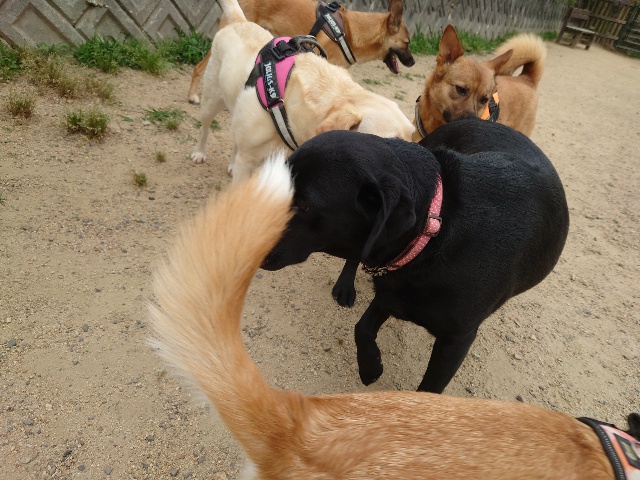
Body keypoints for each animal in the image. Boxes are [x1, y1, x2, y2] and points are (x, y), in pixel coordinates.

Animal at [262, 120, 569, 394]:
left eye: (304, 205)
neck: (435, 231)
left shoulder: (455, 338)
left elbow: (428, 389)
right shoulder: (392, 289)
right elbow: (362, 328)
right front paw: (371, 367)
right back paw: (345, 286)